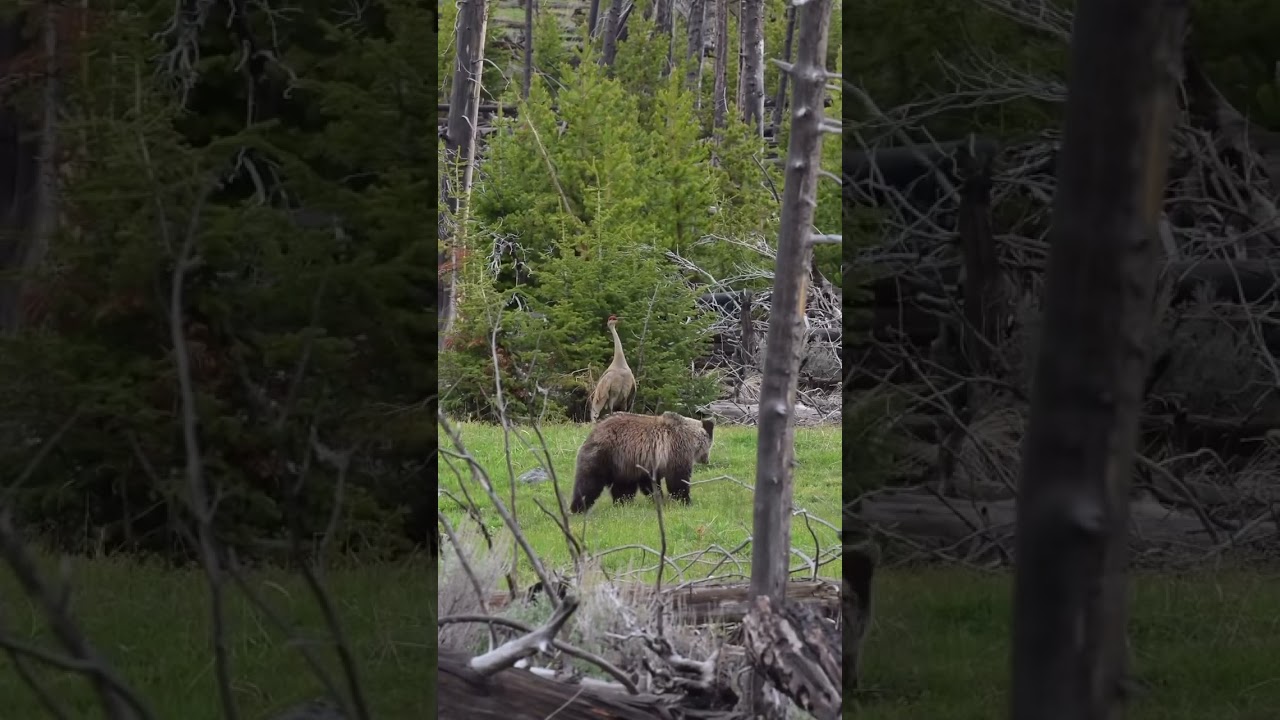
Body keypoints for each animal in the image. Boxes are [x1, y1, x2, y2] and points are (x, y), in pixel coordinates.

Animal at [569, 411, 715, 513]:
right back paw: (578, 508)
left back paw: (623, 504)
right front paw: (686, 501)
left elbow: (650, 484)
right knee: (589, 482)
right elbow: (677, 480)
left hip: (623, 464)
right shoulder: (675, 451)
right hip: (606, 455)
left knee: (623, 487)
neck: (690, 437)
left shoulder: (647, 463)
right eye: (710, 445)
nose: (706, 460)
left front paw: (659, 499)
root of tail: (592, 433)